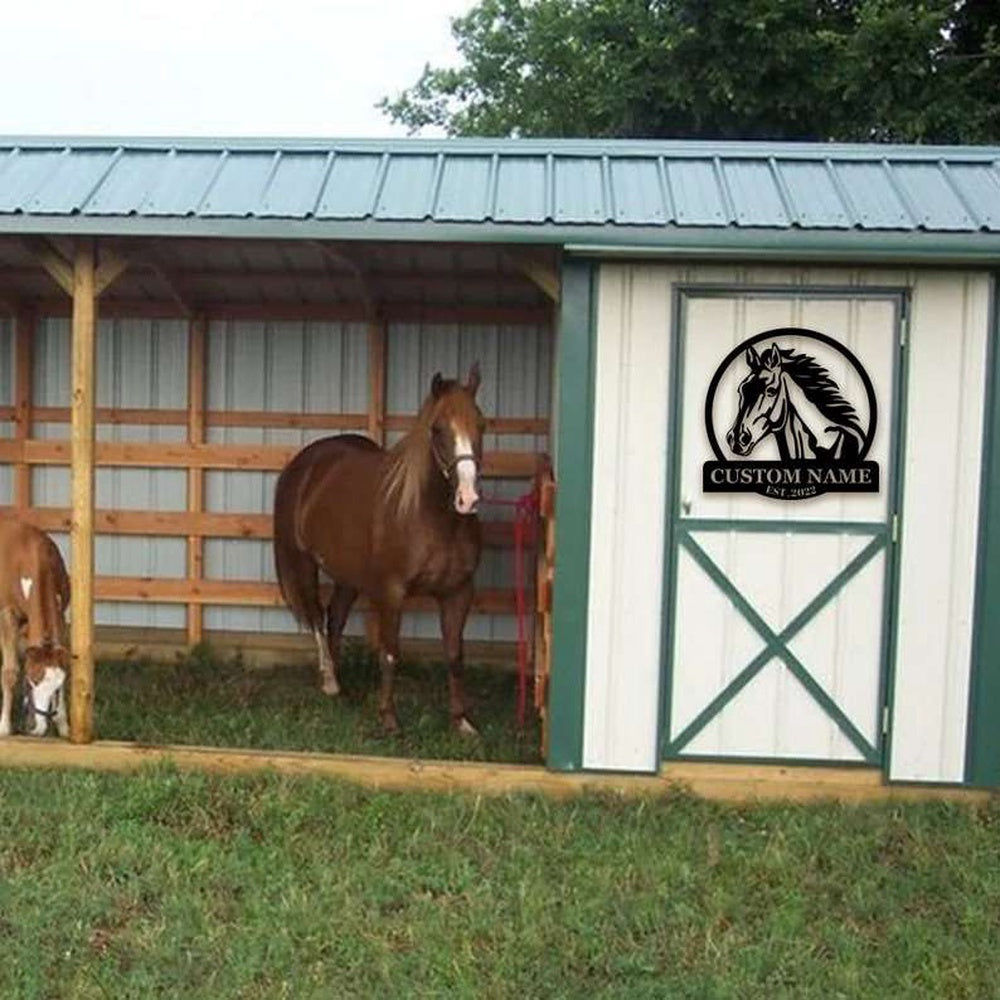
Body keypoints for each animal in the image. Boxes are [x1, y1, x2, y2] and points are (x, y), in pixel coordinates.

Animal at [0, 518, 71, 737]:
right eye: (33, 679)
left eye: (57, 687)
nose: (37, 728)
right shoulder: (7, 614)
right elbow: (10, 671)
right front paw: (4, 726)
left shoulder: (62, 613)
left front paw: (63, 724)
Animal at [273, 364, 485, 734]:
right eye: (438, 429)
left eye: (482, 425)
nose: (468, 498)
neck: (430, 517)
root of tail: (306, 462)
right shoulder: (392, 592)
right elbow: (389, 654)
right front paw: (388, 718)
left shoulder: (459, 592)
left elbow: (456, 656)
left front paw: (461, 721)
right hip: (303, 563)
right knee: (317, 616)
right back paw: (329, 681)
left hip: (347, 573)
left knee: (335, 617)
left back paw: (340, 683)